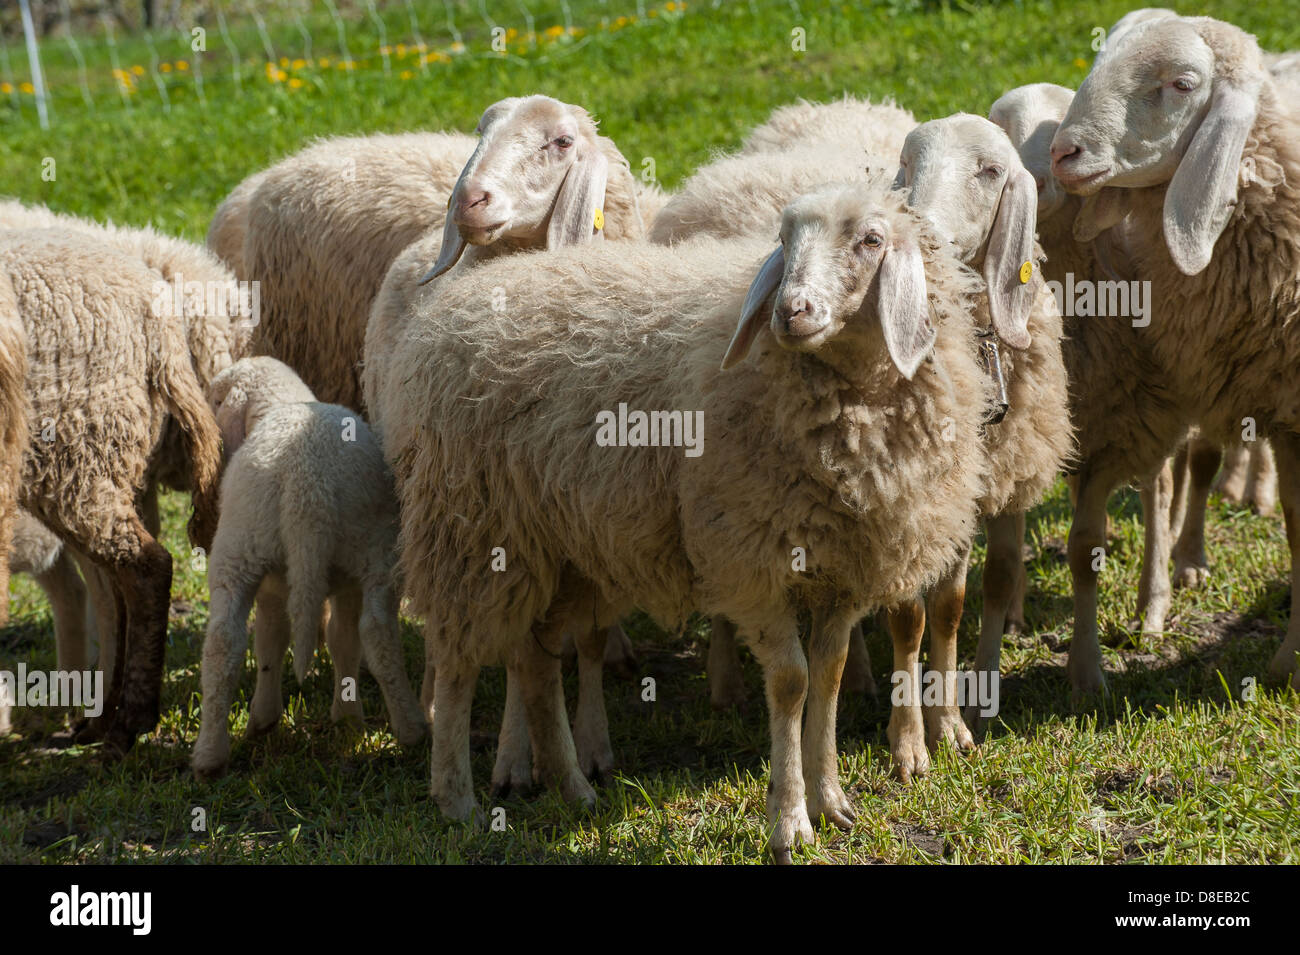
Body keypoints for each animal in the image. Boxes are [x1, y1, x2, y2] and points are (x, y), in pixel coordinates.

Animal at [1, 227, 223, 748]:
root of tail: (157, 319)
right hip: (92, 462)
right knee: (118, 580)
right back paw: (103, 718)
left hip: (78, 447)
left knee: (144, 569)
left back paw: (129, 723)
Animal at [189, 356, 423, 779]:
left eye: (214, 399)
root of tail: (305, 480)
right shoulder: (343, 583)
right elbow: (341, 639)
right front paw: (347, 719)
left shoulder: (276, 584)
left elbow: (273, 639)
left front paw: (266, 718)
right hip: (372, 550)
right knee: (377, 632)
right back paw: (411, 728)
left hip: (241, 550)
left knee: (223, 643)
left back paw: (210, 756)